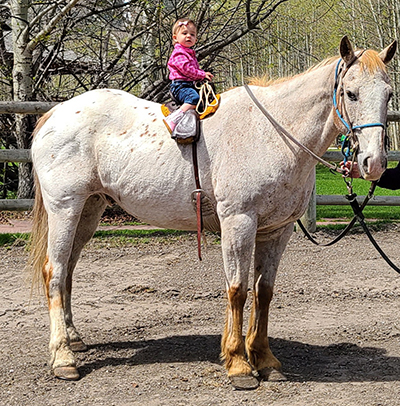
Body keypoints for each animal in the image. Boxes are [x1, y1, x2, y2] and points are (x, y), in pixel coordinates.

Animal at [28, 36, 396, 388]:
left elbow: (264, 292)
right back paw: (63, 358)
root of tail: (55, 113)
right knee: (55, 272)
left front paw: (264, 359)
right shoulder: (239, 222)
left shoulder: (276, 231)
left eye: (389, 93)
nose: (374, 163)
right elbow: (237, 290)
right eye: (351, 93)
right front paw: (238, 364)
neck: (272, 134)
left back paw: (74, 339)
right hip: (65, 208)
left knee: (68, 271)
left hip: (89, 210)